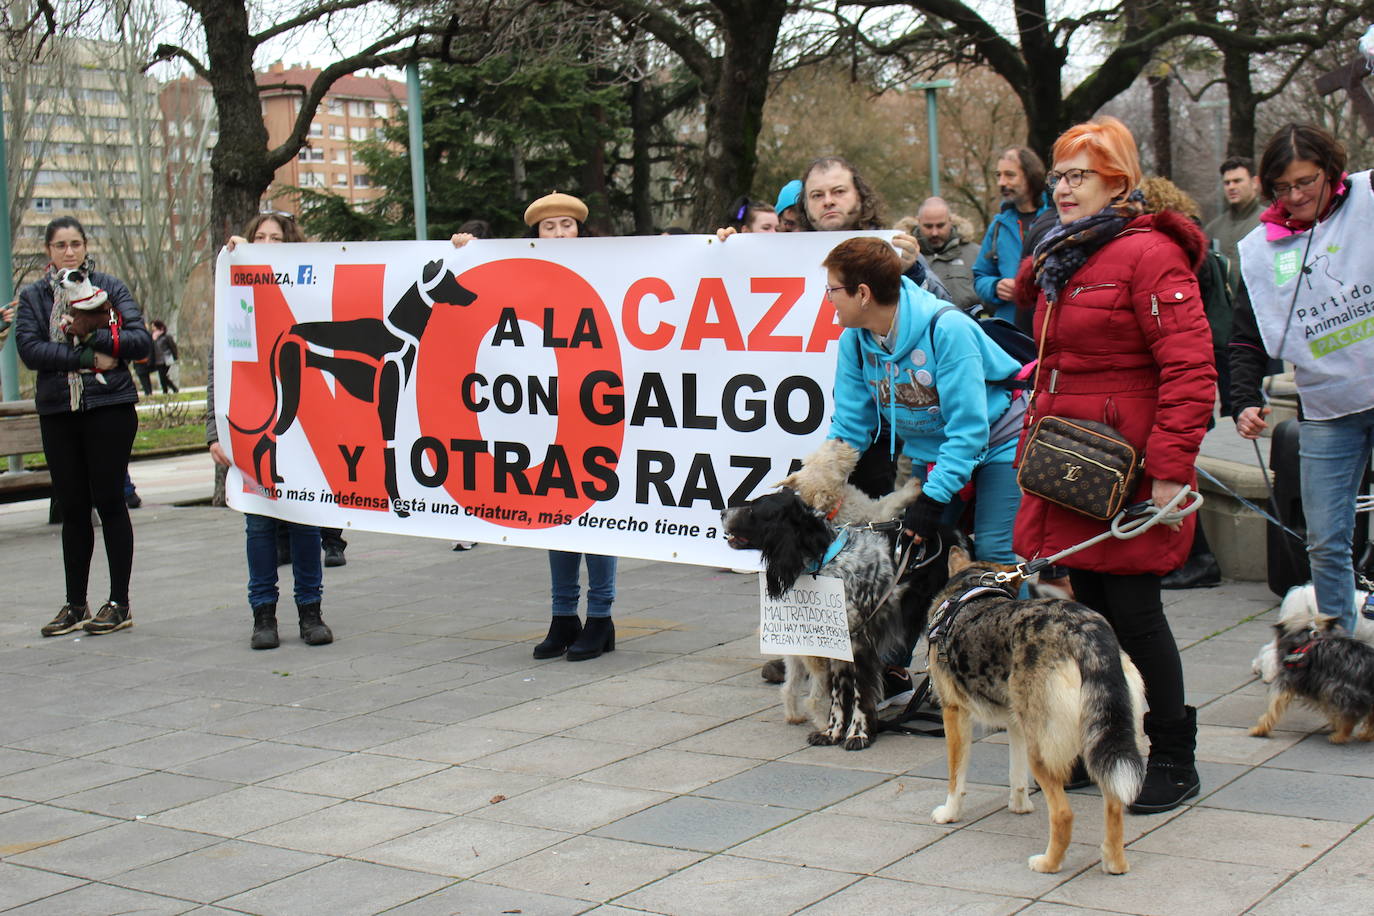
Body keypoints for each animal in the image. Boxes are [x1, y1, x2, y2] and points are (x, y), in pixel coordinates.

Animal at [923, 549, 1148, 878]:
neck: (973, 589)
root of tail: (1086, 633)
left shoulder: (954, 713)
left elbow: (956, 778)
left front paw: (949, 813)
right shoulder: (1016, 723)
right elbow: (1016, 775)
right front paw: (1019, 806)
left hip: (1042, 749)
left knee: (1064, 814)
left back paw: (1048, 864)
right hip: (1099, 739)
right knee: (1115, 803)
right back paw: (1114, 862)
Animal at [1253, 612, 1374, 741]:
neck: (1308, 637)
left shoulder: (1287, 682)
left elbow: (1274, 707)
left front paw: (1260, 729)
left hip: (1340, 691)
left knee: (1350, 718)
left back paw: (1340, 736)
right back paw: (1366, 735)